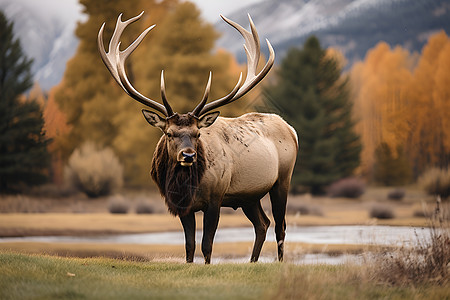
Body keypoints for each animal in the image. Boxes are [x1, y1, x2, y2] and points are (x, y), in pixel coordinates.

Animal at [96, 11, 298, 264]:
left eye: (197, 133)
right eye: (169, 133)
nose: (188, 155)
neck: (186, 186)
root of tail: (291, 129)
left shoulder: (215, 198)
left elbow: (207, 245)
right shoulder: (183, 205)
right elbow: (189, 245)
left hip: (282, 180)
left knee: (280, 225)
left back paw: (279, 263)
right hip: (248, 196)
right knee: (263, 224)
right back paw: (252, 262)